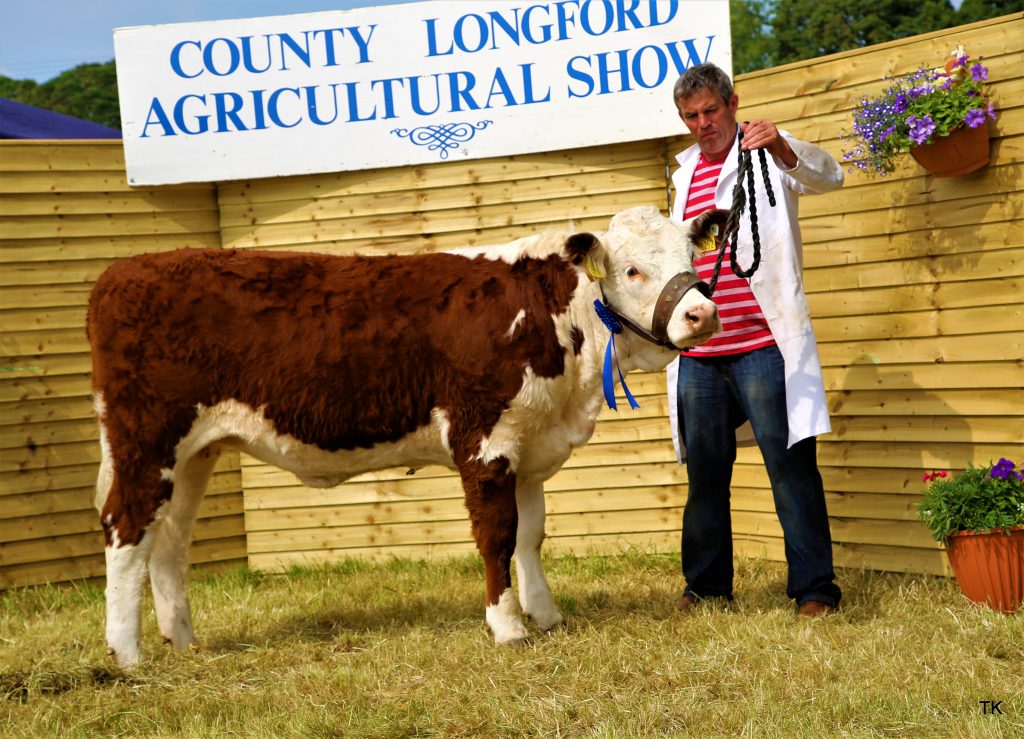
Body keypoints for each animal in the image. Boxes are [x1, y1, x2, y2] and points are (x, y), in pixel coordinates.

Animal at [88, 204, 725, 666]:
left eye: (692, 258)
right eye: (633, 270)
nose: (702, 314)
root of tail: (125, 271)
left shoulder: (528, 444)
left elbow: (530, 536)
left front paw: (545, 616)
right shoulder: (485, 441)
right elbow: (496, 537)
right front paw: (507, 628)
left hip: (194, 452)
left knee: (168, 542)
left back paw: (183, 642)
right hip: (146, 439)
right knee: (126, 530)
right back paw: (128, 654)